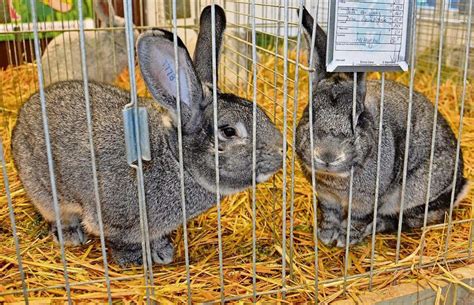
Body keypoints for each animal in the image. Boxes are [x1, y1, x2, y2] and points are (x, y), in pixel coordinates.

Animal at [12, 5, 284, 266]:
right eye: (228, 131)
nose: (282, 151)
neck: (176, 160)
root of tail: (23, 115)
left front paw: (162, 251)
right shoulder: (115, 222)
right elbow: (123, 243)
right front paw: (137, 261)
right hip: (44, 192)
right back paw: (70, 236)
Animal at [294, 7, 468, 247]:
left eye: (358, 119)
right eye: (309, 112)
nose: (328, 155)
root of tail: (459, 186)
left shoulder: (366, 201)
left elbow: (357, 220)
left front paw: (345, 240)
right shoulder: (327, 198)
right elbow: (330, 215)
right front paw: (326, 236)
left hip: (414, 193)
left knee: (405, 220)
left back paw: (374, 227)